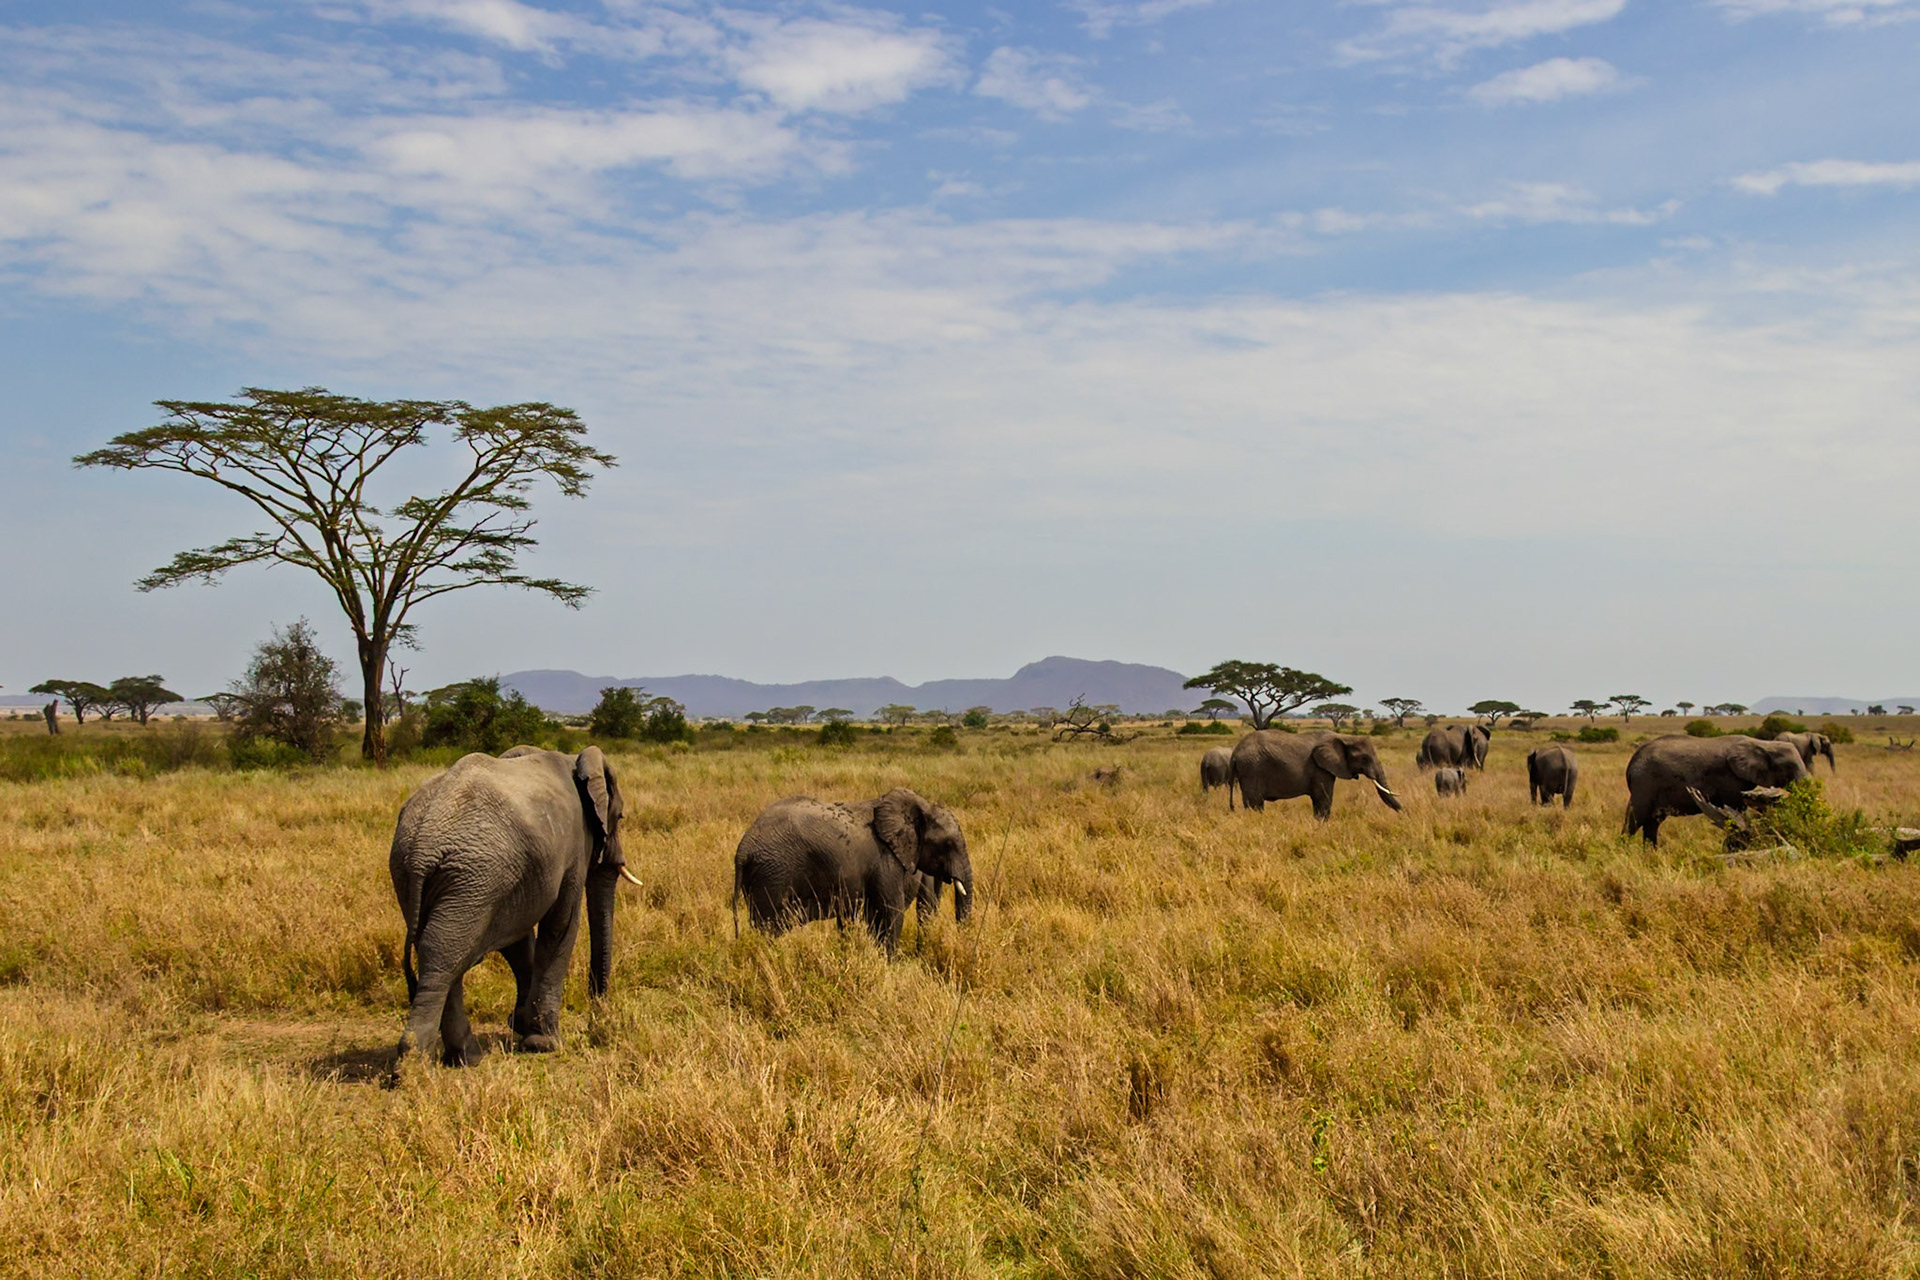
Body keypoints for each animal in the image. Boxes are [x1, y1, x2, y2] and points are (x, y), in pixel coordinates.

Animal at [389, 745, 641, 1068]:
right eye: (620, 817)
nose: (597, 1016)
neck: (573, 758)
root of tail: (422, 847)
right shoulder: (573, 847)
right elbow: (560, 926)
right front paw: (544, 1044)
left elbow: (518, 938)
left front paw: (521, 1026)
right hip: (473, 875)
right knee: (444, 954)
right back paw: (414, 1064)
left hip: (426, 876)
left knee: (442, 951)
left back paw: (465, 1057)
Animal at [733, 787, 972, 953]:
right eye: (949, 844)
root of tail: (744, 848)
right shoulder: (885, 860)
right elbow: (891, 913)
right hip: (773, 873)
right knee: (767, 928)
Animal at [1229, 730, 1403, 819]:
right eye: (1364, 758)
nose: (1404, 815)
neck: (1343, 736)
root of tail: (1235, 753)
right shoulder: (1320, 768)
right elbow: (1324, 797)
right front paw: (1323, 824)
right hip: (1252, 768)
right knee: (1255, 803)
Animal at [1623, 734, 1811, 845]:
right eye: (1789, 767)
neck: (1763, 744)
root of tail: (1631, 762)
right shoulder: (1728, 778)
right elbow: (1736, 808)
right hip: (1644, 784)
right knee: (1634, 820)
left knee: (1652, 824)